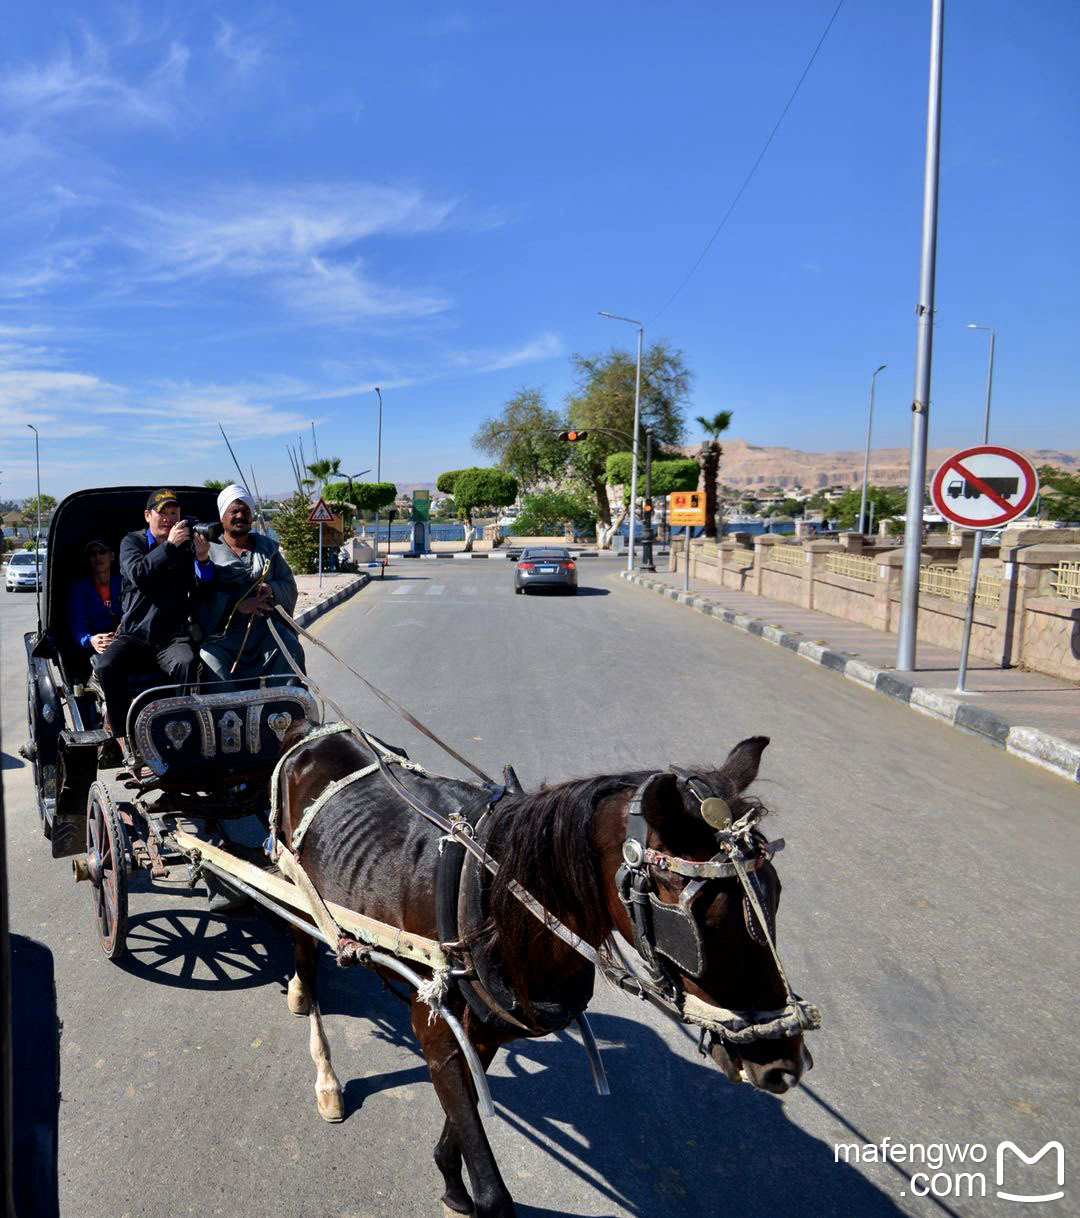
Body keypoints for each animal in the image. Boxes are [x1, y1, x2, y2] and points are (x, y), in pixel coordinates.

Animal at [273, 725, 813, 1213]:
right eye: (703, 925)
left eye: (776, 893)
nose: (785, 1065)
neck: (491, 900)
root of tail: (312, 731)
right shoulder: (436, 1029)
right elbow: (492, 1189)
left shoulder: (486, 1030)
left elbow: (464, 1119)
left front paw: (450, 1179)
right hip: (296, 891)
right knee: (305, 959)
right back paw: (321, 1060)